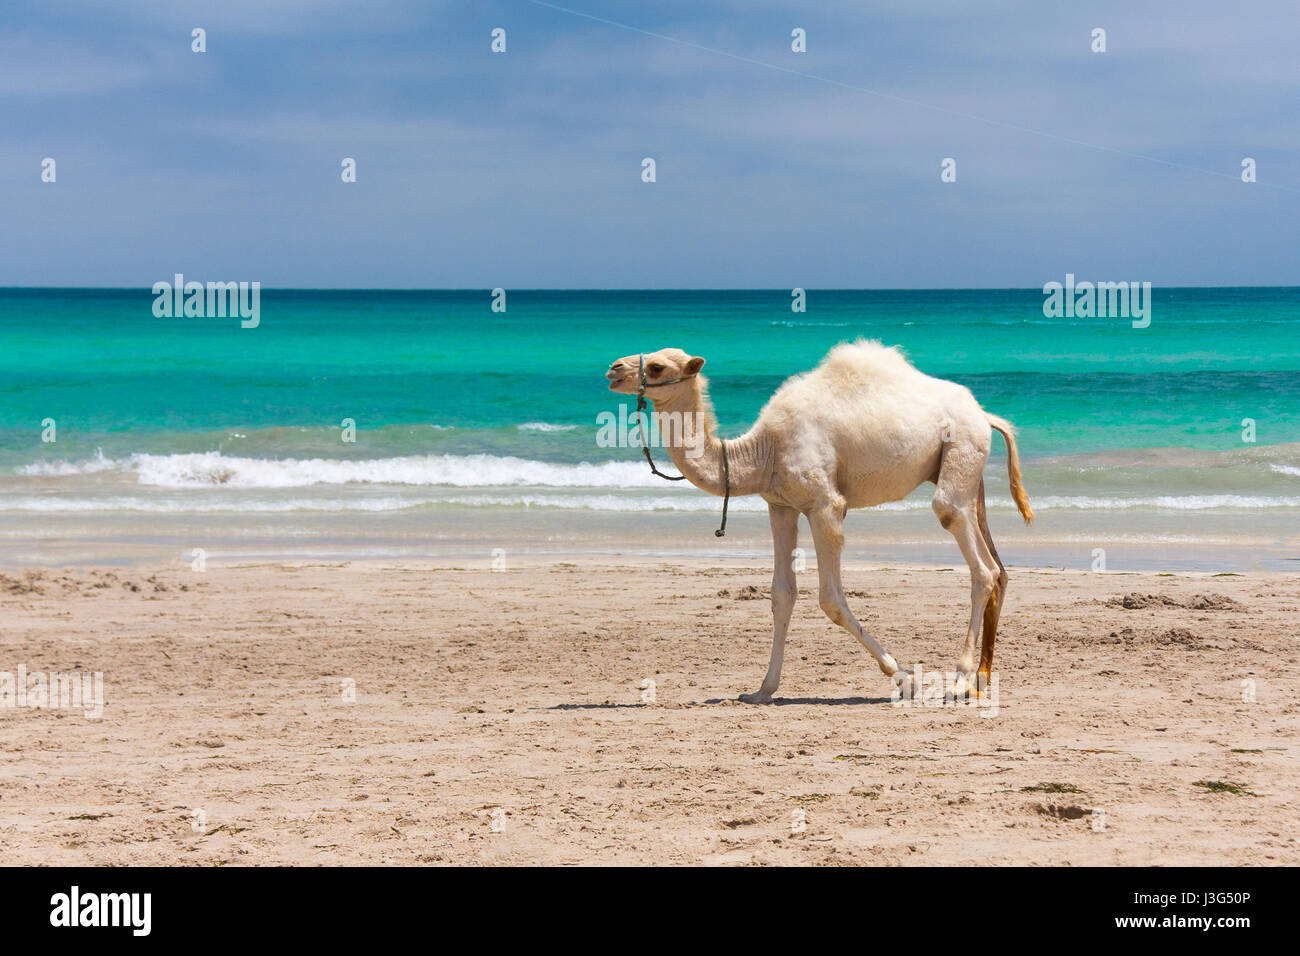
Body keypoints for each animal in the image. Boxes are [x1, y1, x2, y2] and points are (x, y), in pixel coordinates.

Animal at [605, 343, 1034, 702]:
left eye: (658, 366)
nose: (614, 368)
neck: (763, 452)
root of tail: (985, 415)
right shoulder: (780, 506)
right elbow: (782, 595)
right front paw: (762, 690)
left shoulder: (825, 506)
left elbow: (830, 598)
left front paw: (905, 678)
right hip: (968, 474)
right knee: (998, 569)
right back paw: (980, 681)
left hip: (961, 451)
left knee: (976, 560)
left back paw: (959, 679)